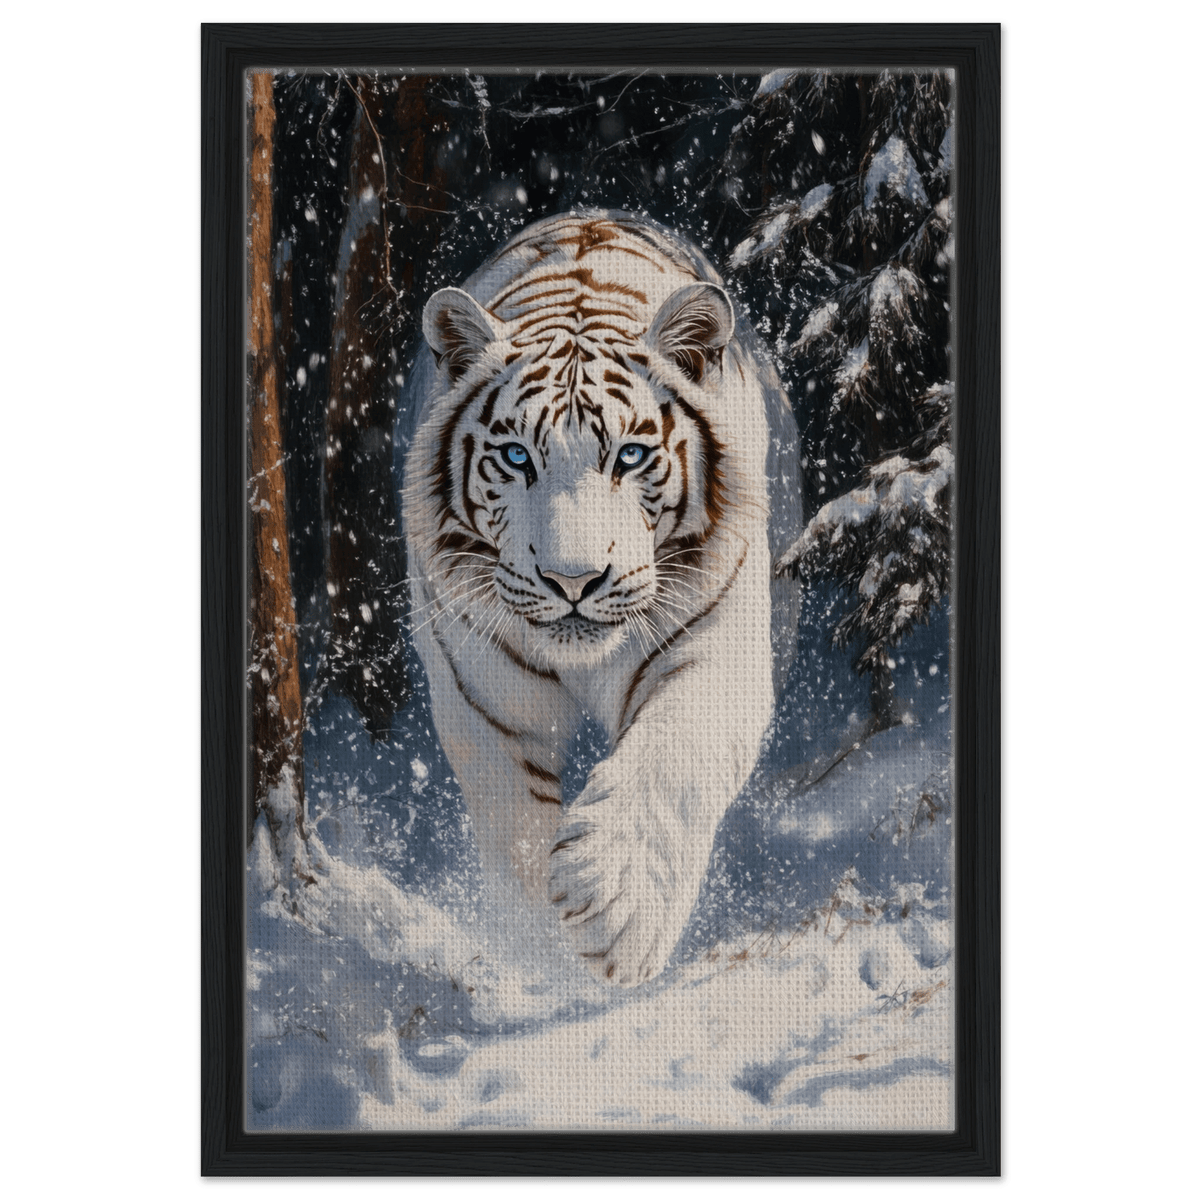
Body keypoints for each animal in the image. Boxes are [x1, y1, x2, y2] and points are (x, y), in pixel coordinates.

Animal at [402, 211, 802, 985]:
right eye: (517, 457)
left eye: (631, 456)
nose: (573, 580)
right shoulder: (482, 696)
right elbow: (515, 830)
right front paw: (548, 957)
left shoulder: (717, 651)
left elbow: (673, 760)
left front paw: (616, 907)